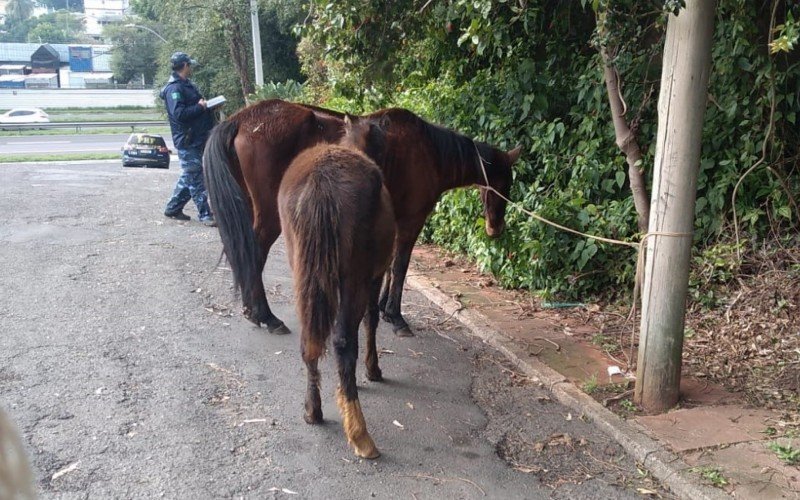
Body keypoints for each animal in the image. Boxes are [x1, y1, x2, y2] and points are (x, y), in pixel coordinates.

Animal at [203, 98, 520, 336]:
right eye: (505, 184)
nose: (495, 228)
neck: (429, 152)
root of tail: (243, 119)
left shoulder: (396, 221)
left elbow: (392, 265)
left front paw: (382, 308)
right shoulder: (412, 221)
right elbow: (401, 266)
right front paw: (396, 316)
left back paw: (253, 310)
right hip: (270, 215)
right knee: (253, 253)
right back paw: (265, 316)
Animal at [278, 115, 396, 458]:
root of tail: (321, 182)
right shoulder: (373, 277)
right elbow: (371, 320)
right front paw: (372, 370)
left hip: (303, 274)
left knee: (310, 340)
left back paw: (312, 410)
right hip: (354, 278)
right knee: (343, 341)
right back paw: (360, 434)